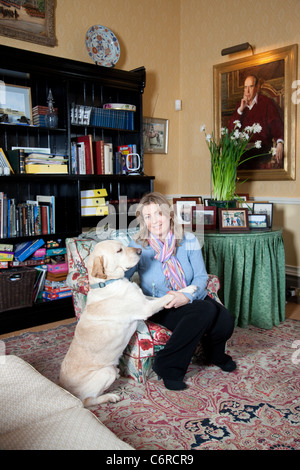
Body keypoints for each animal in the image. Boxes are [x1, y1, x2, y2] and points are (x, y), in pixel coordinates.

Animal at [60, 241, 197, 406]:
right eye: (119, 250)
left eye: (122, 245)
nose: (140, 251)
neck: (107, 282)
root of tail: (63, 388)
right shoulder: (145, 308)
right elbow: (166, 298)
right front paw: (188, 290)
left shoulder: (145, 299)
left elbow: (164, 296)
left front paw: (186, 290)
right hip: (107, 372)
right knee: (88, 401)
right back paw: (111, 396)